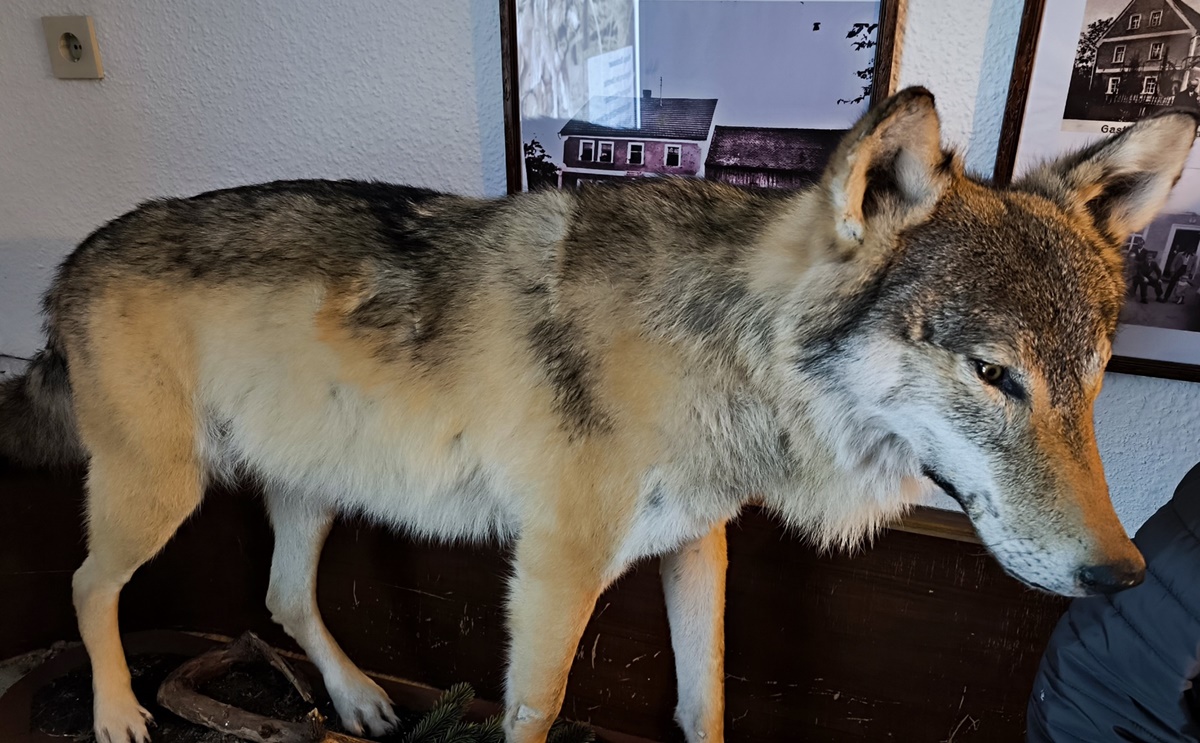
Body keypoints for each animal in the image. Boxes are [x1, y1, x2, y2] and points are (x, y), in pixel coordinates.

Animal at [1, 89, 1196, 743]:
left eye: (1094, 377)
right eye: (994, 373)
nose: (1123, 576)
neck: (717, 349)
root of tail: (72, 261)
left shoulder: (699, 546)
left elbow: (704, 702)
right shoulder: (556, 567)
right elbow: (536, 707)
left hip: (311, 490)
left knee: (282, 595)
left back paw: (359, 700)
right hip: (160, 490)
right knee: (88, 584)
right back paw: (114, 711)